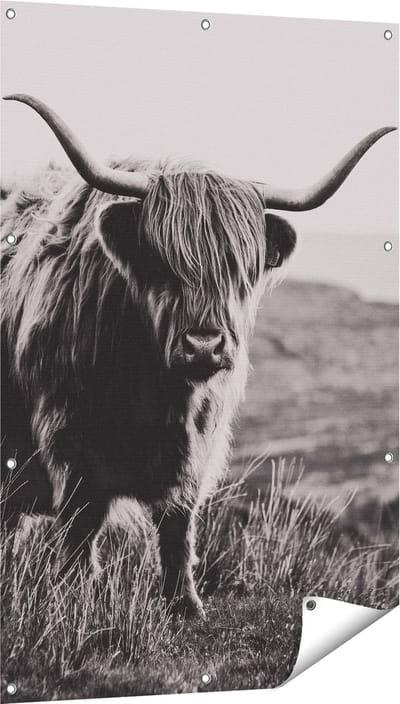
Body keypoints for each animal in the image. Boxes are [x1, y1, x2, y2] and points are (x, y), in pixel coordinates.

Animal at [1, 94, 395, 616]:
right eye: (160, 262)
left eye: (239, 267)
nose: (204, 344)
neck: (157, 393)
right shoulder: (68, 437)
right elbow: (80, 525)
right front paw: (76, 598)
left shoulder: (199, 446)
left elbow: (177, 524)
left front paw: (184, 604)